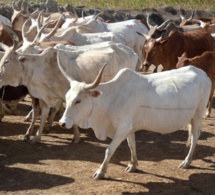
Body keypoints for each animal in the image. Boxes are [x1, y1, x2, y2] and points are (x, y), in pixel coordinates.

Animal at [58, 64, 211, 180]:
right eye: (67, 97)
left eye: (78, 101)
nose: (62, 123)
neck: (112, 99)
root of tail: (203, 74)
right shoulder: (129, 128)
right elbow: (131, 145)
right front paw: (133, 165)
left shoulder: (122, 128)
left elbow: (109, 150)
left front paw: (100, 172)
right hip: (191, 117)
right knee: (193, 134)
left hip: (198, 114)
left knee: (195, 136)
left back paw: (187, 161)